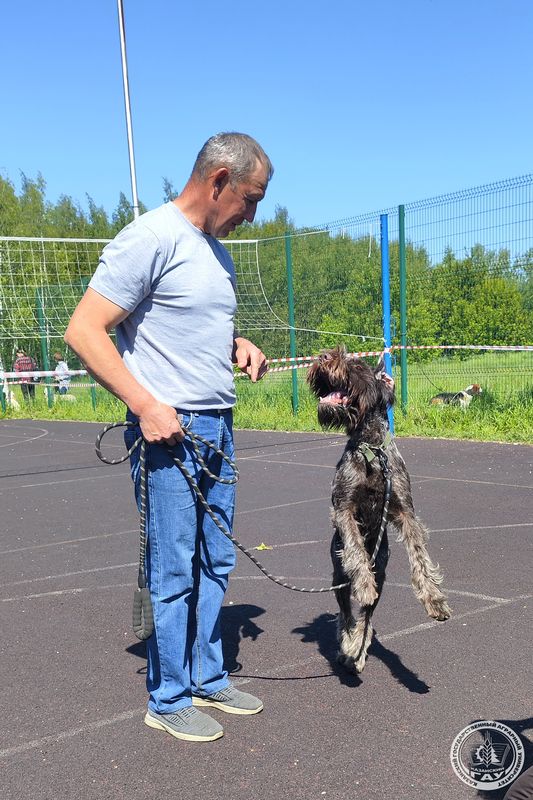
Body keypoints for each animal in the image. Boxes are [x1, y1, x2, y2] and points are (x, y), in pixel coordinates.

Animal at [307, 347, 451, 673]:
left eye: (357, 364)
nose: (323, 356)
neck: (371, 449)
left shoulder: (405, 511)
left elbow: (421, 558)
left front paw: (434, 600)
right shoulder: (344, 507)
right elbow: (356, 550)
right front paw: (363, 584)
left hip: (382, 572)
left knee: (366, 617)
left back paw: (358, 649)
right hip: (338, 576)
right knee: (347, 613)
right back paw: (349, 645)